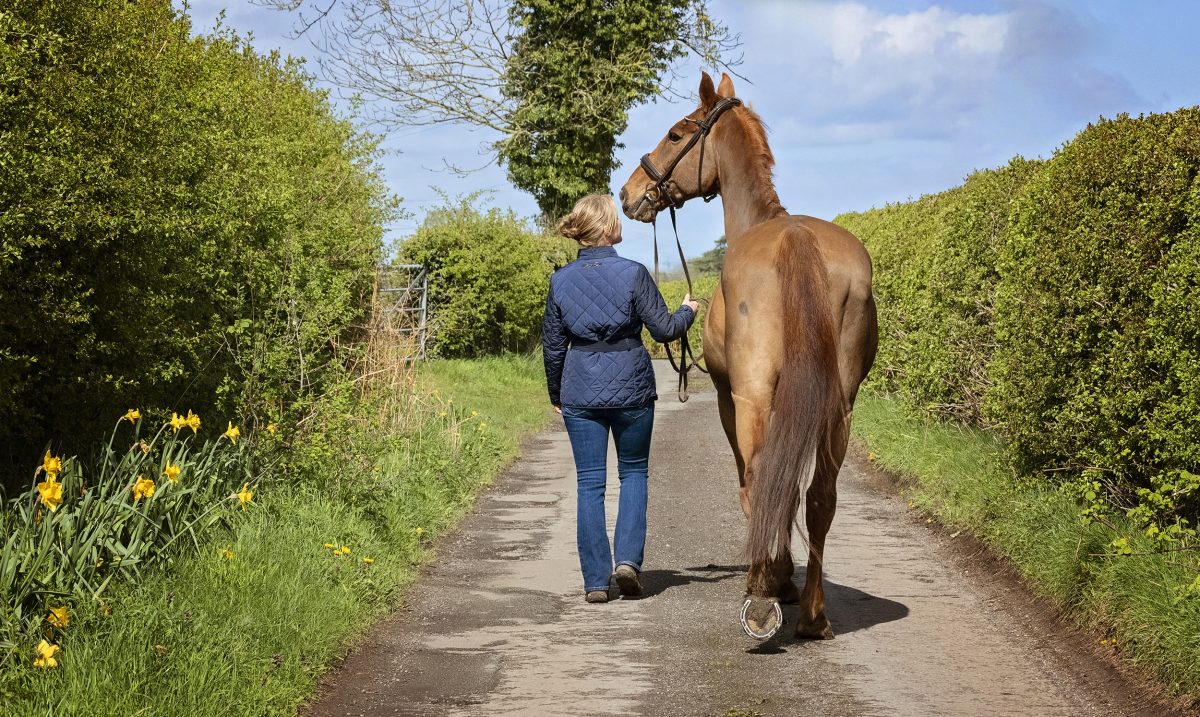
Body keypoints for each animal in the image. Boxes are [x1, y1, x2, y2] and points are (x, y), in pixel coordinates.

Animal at [619, 72, 878, 640]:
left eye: (675, 134)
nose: (628, 194)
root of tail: (797, 239)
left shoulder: (727, 397)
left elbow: (750, 481)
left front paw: (771, 577)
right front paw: (784, 577)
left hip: (752, 396)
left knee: (759, 480)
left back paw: (762, 598)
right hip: (840, 407)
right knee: (820, 494)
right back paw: (813, 616)